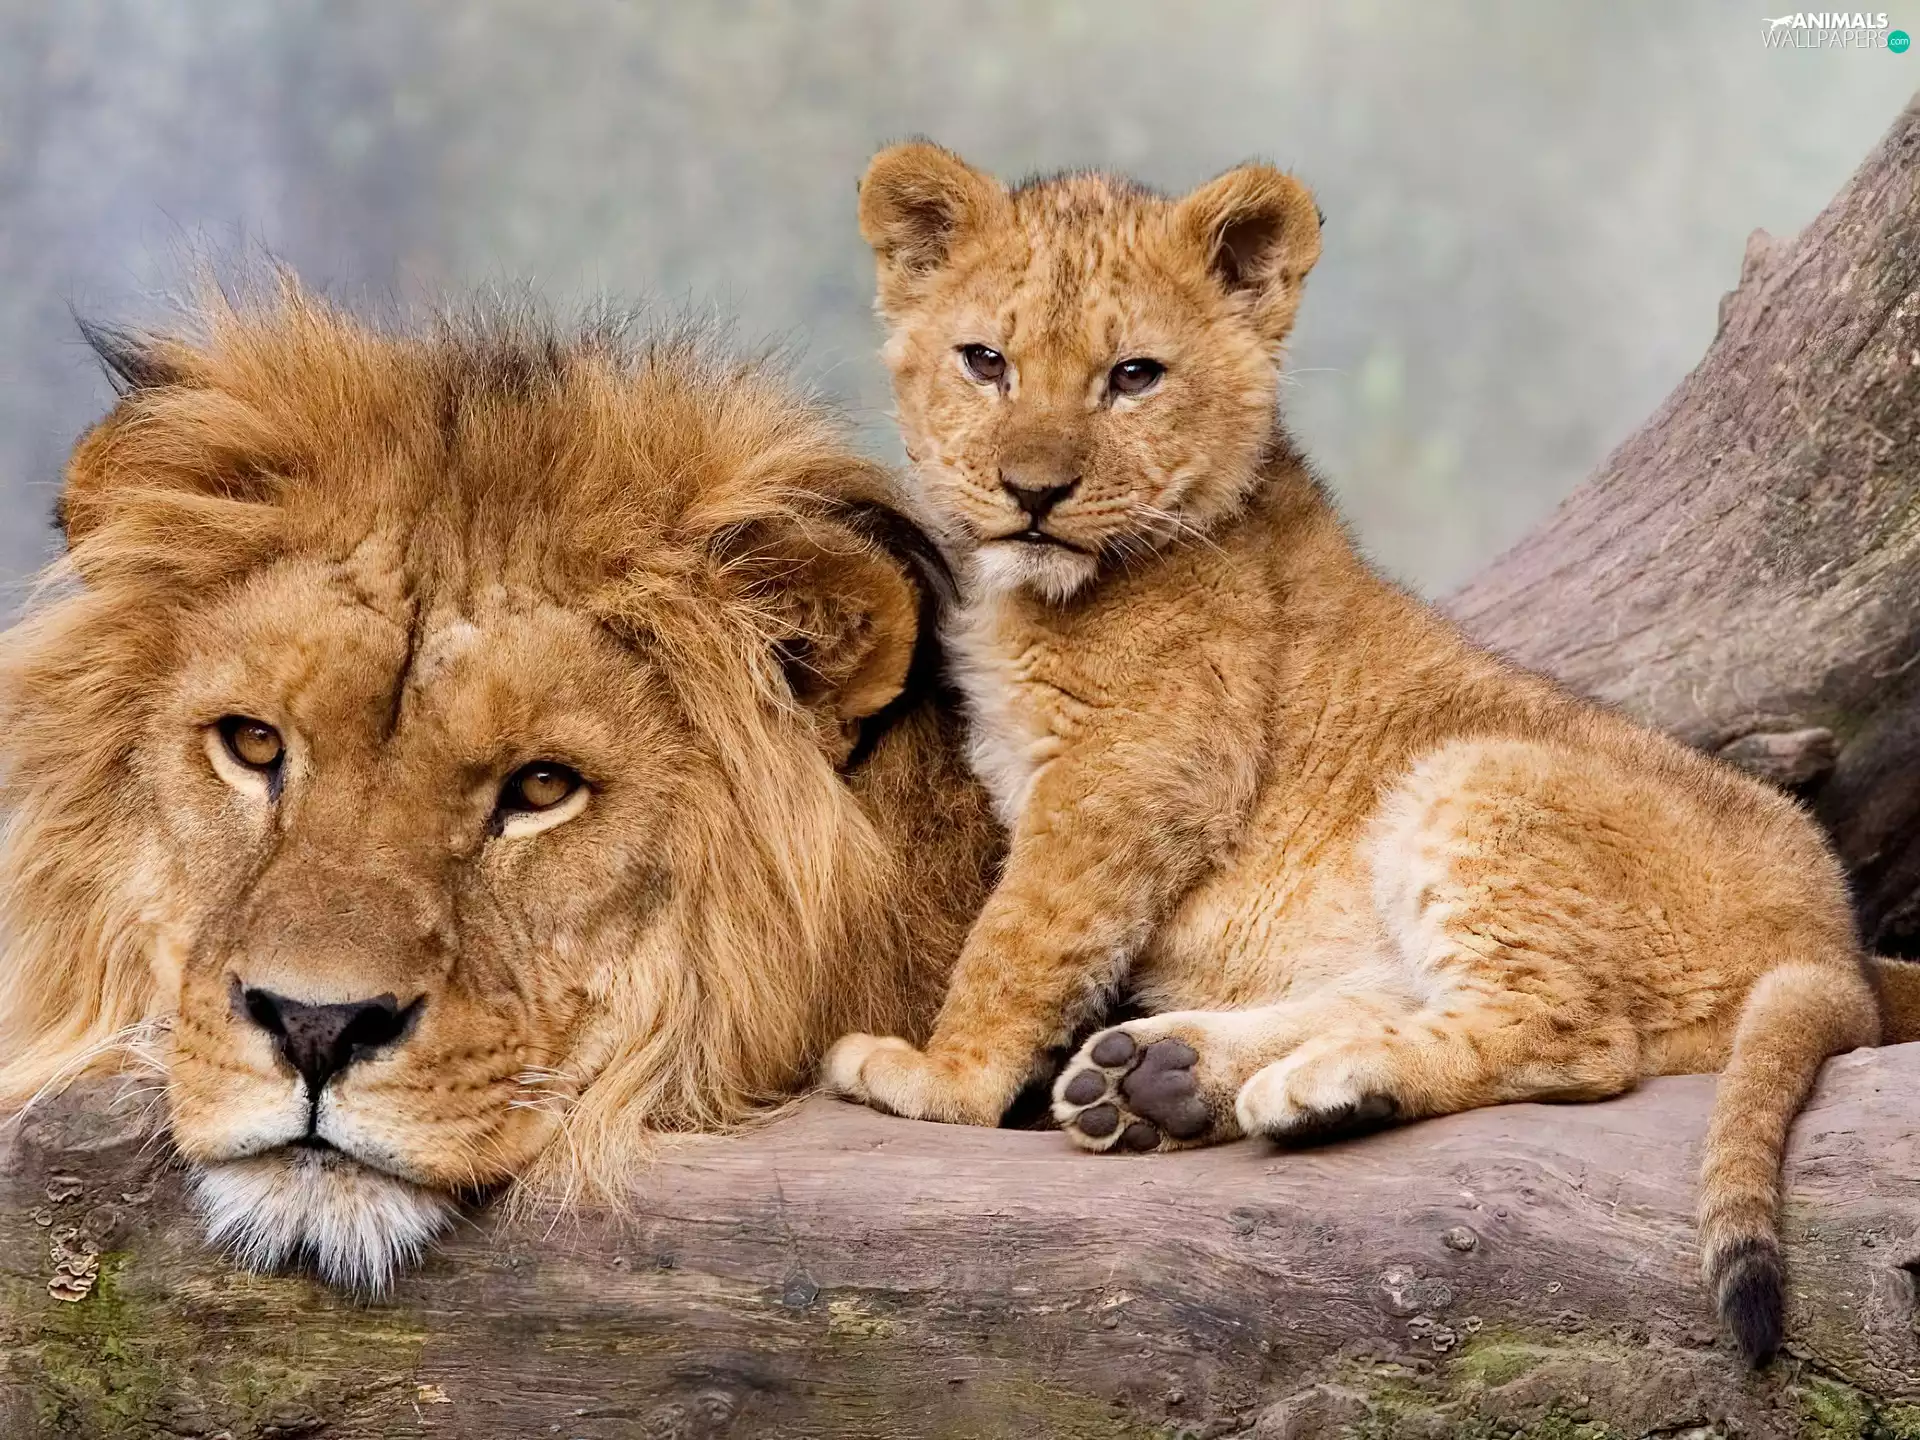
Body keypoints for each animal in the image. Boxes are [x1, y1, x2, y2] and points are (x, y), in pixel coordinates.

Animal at [821, 141, 1888, 1364]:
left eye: (1134, 376)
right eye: (984, 361)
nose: (1033, 494)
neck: (1041, 594)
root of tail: (1834, 945)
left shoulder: (1135, 773)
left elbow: (1018, 938)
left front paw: (942, 1077)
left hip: (1473, 776)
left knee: (1570, 1036)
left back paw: (1318, 1087)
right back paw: (1167, 1081)